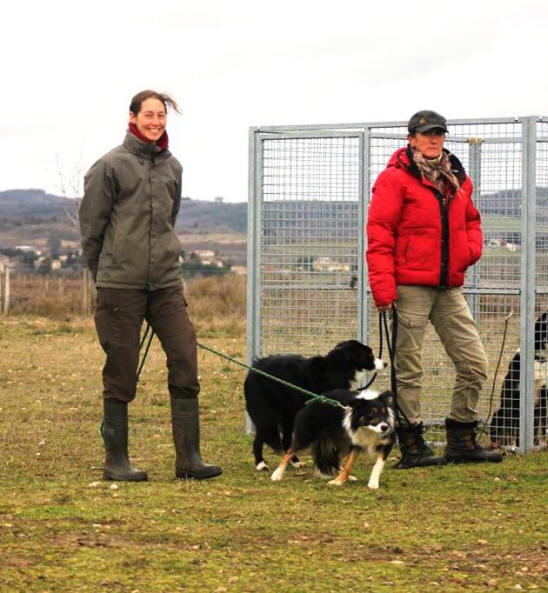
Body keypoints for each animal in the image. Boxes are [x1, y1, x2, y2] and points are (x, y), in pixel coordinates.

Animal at [244, 340, 386, 470]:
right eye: (369, 354)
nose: (386, 363)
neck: (340, 369)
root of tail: (254, 367)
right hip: (266, 412)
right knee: (260, 437)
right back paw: (260, 464)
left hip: (288, 414)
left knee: (285, 439)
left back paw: (295, 462)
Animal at [492, 312, 548, 446]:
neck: (539, 360)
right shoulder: (516, 395)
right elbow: (514, 428)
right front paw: (514, 445)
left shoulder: (544, 394)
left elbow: (542, 425)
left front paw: (542, 444)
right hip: (498, 413)